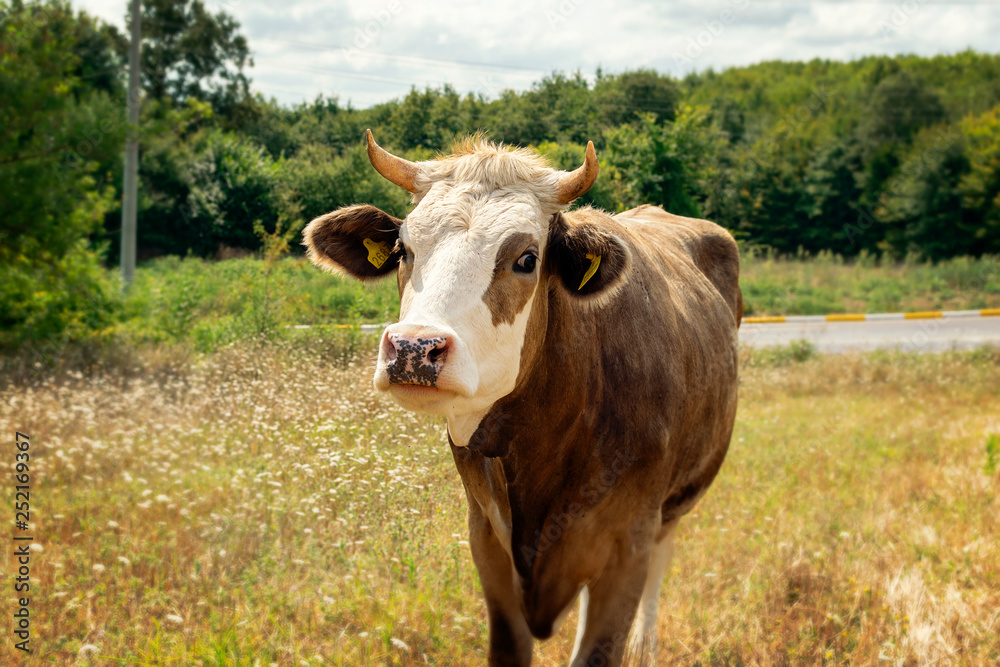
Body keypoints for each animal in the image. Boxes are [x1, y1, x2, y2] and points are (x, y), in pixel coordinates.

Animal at [300, 132, 740, 667]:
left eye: (527, 258)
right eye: (404, 249)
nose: (413, 348)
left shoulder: (627, 541)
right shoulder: (488, 539)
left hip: (676, 503)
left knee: (663, 556)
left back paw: (645, 646)